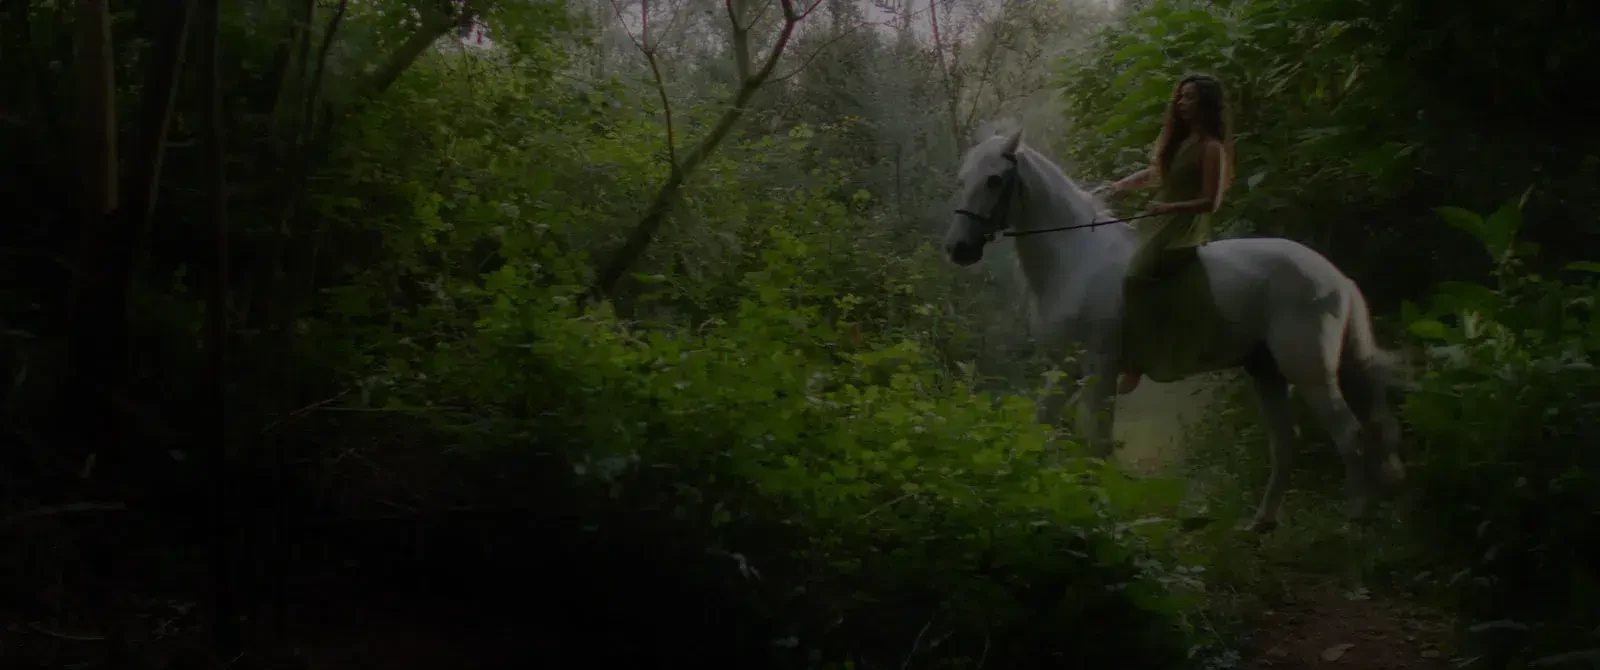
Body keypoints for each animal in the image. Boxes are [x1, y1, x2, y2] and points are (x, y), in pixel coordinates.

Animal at [941, 121, 1406, 532]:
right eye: (963, 179)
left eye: (995, 180)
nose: (958, 249)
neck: (1076, 260)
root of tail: (1336, 277)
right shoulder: (1066, 370)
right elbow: (1039, 428)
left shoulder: (1100, 366)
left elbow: (1098, 443)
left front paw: (1102, 511)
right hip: (1266, 371)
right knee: (1285, 441)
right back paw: (1262, 522)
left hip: (1309, 370)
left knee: (1350, 434)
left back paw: (1354, 519)